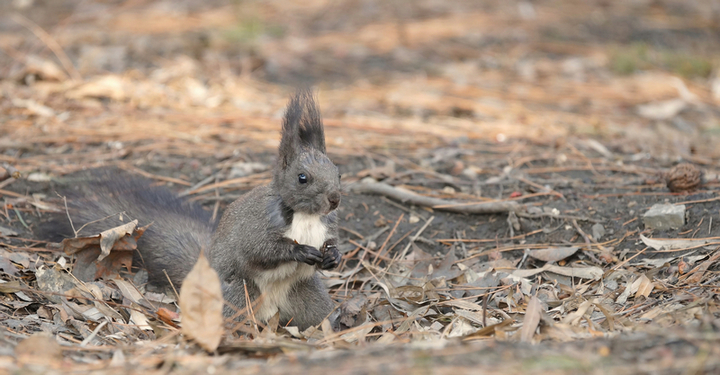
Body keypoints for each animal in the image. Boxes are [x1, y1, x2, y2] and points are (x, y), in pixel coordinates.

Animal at [44, 92, 344, 332]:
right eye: (302, 178)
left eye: (338, 172)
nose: (335, 199)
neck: (305, 216)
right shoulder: (258, 224)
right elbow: (259, 250)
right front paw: (299, 250)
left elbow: (330, 244)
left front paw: (333, 256)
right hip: (239, 294)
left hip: (308, 298)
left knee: (319, 316)